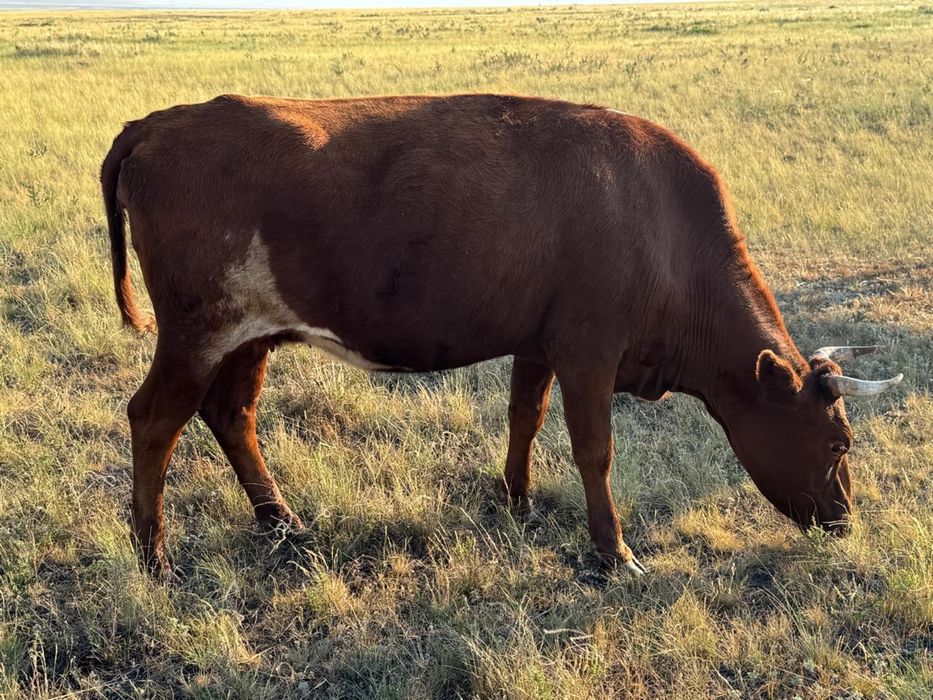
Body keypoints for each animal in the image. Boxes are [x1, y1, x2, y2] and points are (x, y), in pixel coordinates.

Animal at [101, 94, 902, 577]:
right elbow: (594, 451)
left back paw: (279, 521)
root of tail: (158, 123)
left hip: (249, 337)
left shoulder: (538, 344)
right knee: (155, 420)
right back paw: (153, 556)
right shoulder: (588, 353)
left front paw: (516, 501)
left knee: (231, 413)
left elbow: (525, 417)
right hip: (197, 330)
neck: (659, 224)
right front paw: (613, 552)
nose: (845, 522)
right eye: (839, 444)